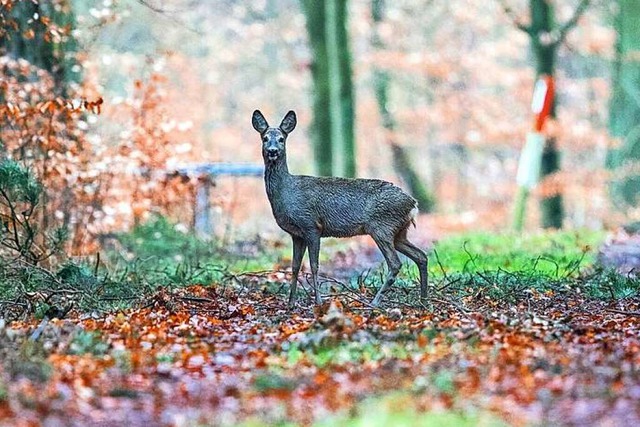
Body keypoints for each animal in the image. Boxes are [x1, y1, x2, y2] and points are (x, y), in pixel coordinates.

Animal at [252, 108, 428, 306]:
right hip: (398, 232)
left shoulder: (311, 225)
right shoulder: (296, 234)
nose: (273, 151)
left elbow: (314, 265)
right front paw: (290, 304)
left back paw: (374, 303)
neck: (286, 193)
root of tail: (413, 204)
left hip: (382, 227)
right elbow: (295, 266)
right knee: (421, 256)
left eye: (282, 138)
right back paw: (423, 300)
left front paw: (318, 302)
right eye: (265, 138)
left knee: (396, 263)